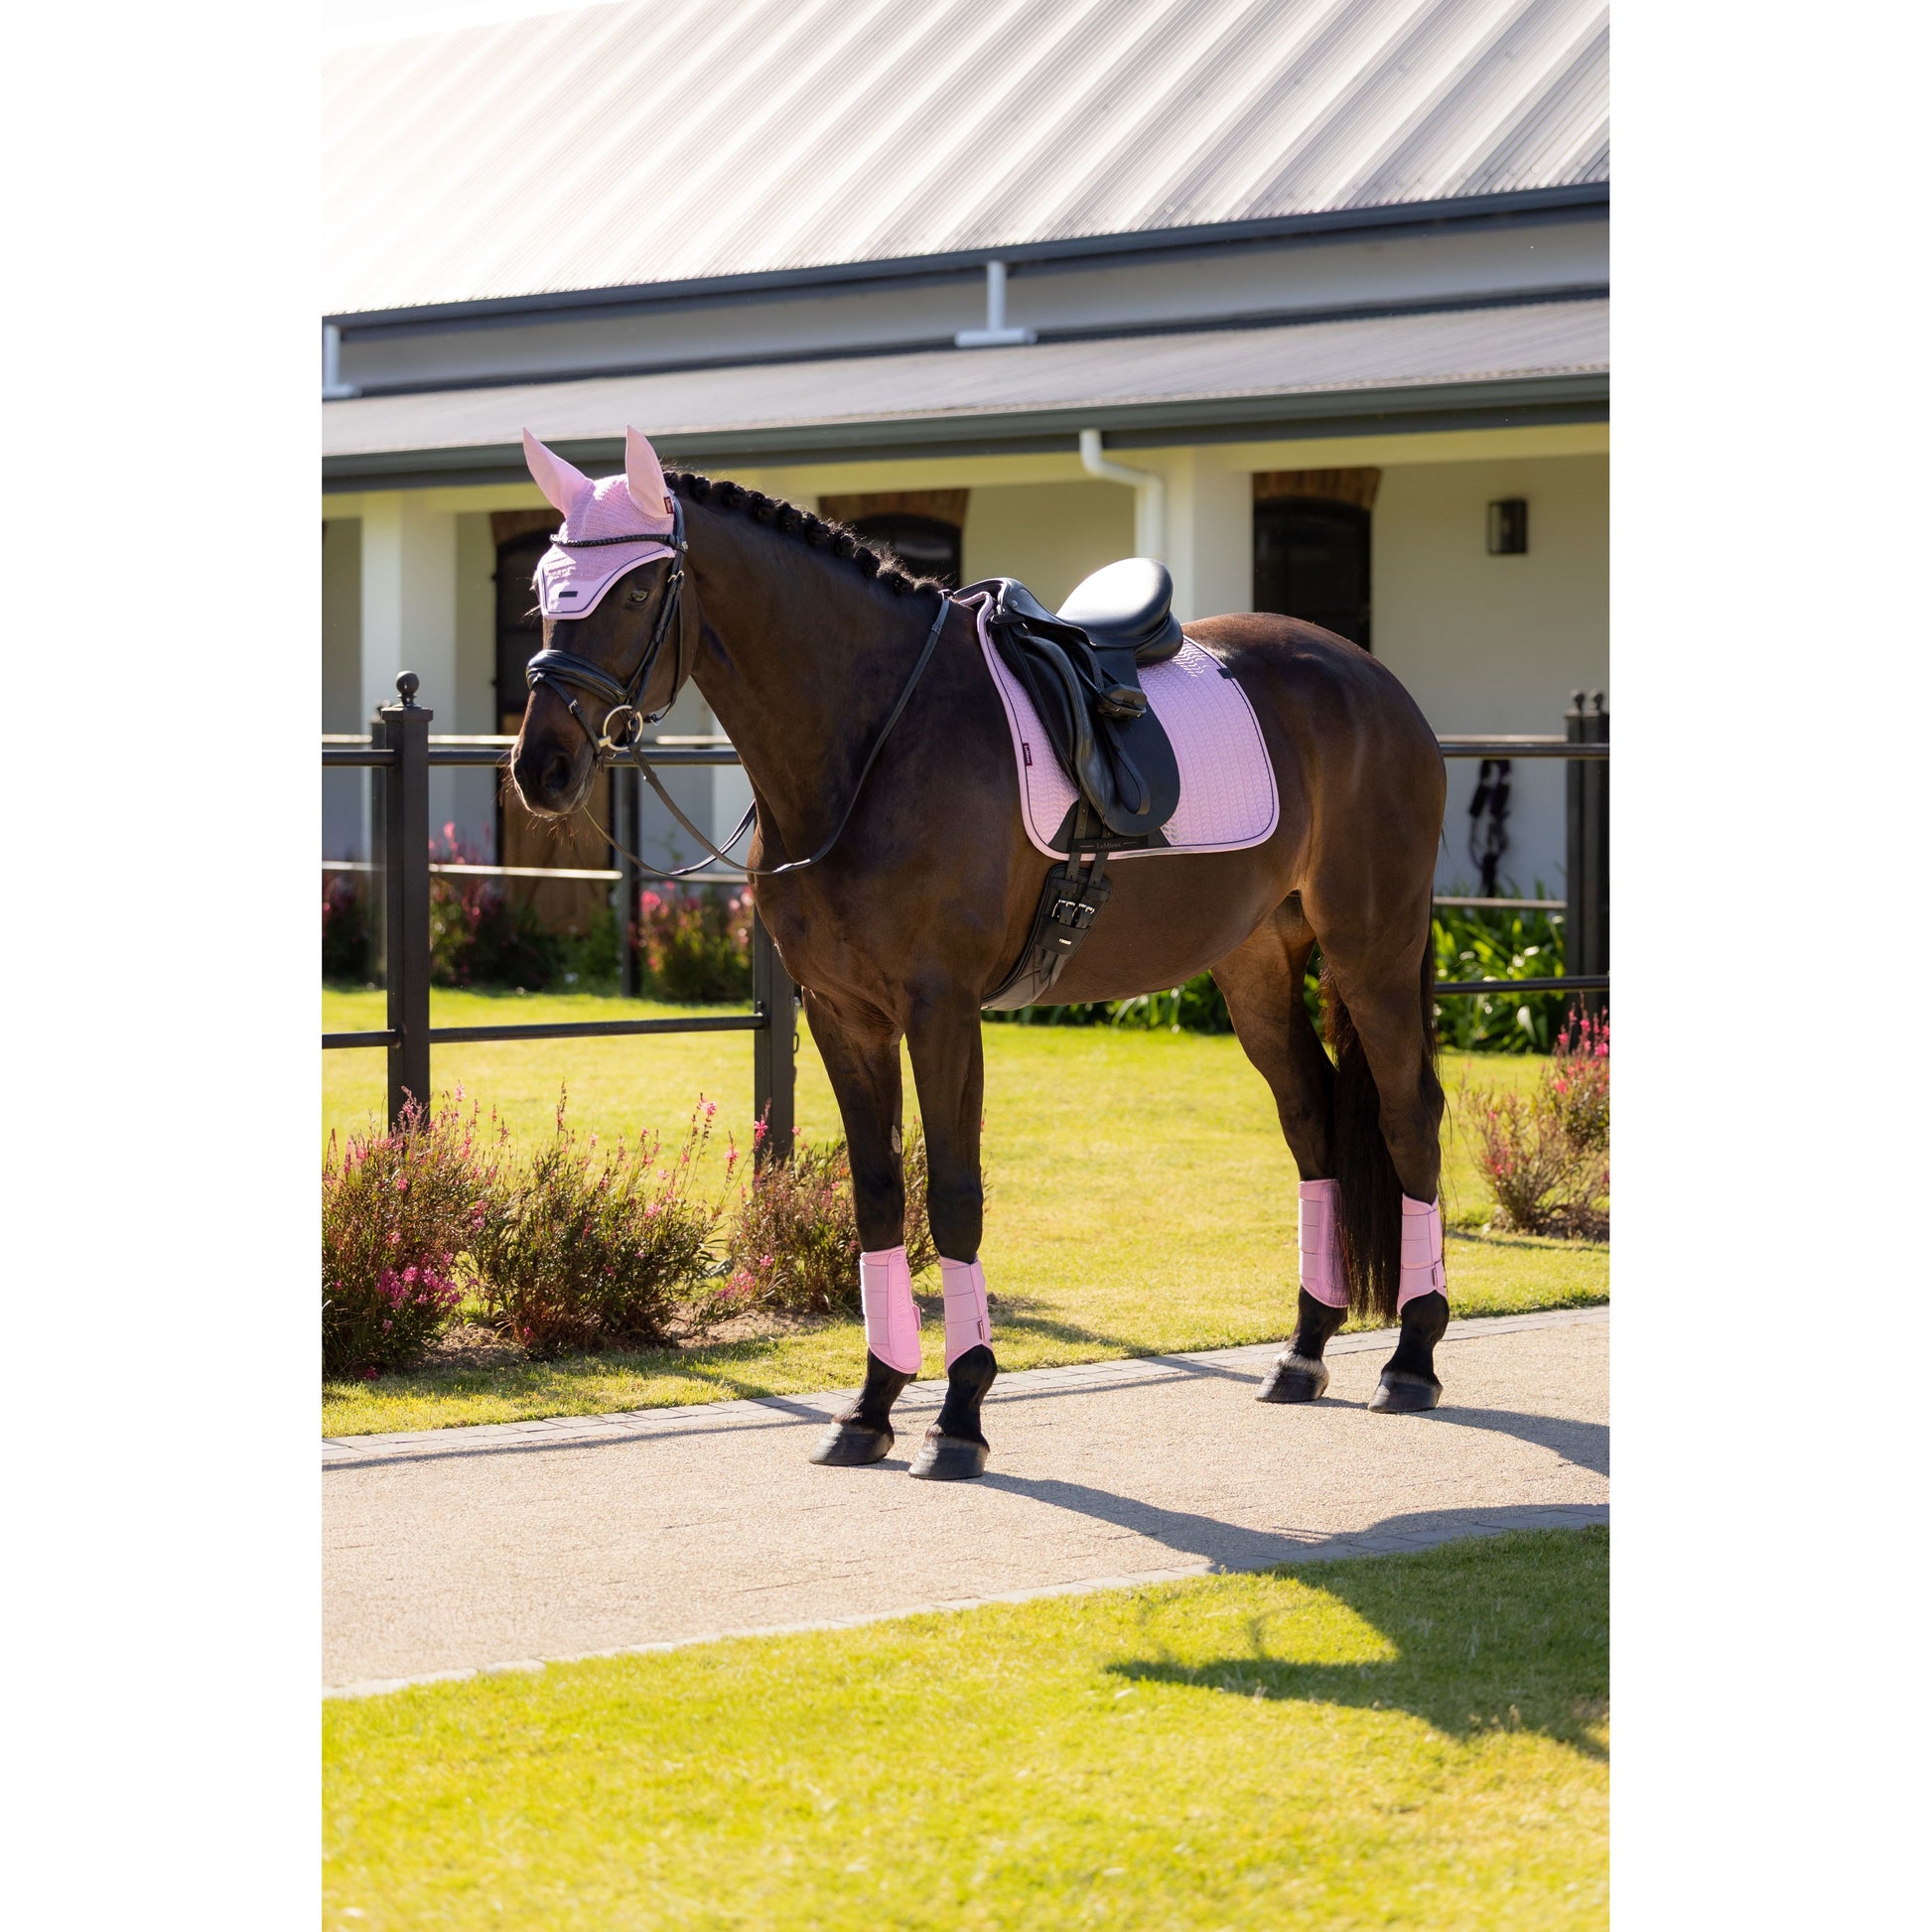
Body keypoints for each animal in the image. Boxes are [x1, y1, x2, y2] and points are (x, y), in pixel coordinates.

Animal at [509, 427, 1449, 1481]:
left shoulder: (942, 1010)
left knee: (1409, 1117)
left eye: (635, 591)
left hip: (1372, 949)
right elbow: (878, 1196)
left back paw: (1411, 1358)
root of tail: (1371, 681)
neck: (875, 734)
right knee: (1313, 1119)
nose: (542, 767)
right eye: (545, 587)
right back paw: (1304, 1350)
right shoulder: (842, 1013)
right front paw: (871, 1407)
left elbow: (954, 1198)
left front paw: (958, 1415)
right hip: (1253, 965)